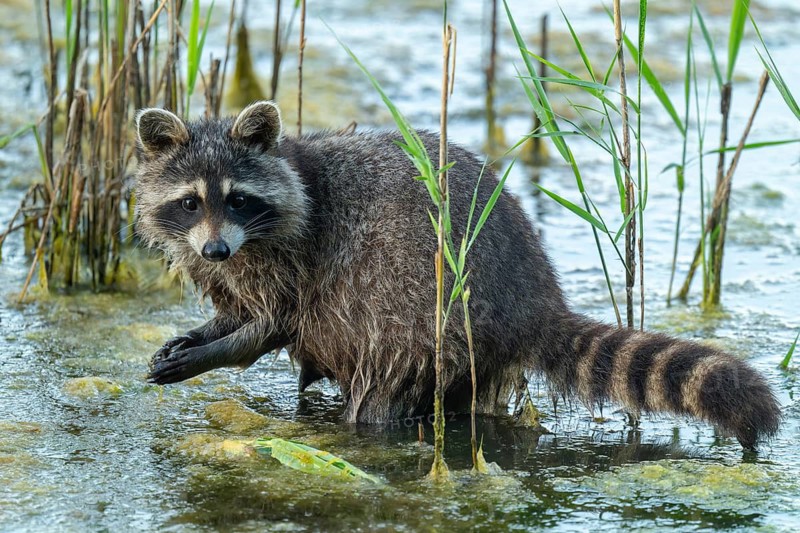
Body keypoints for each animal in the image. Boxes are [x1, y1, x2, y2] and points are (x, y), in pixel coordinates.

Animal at [135, 101, 780, 450]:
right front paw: (200, 333)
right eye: (191, 202)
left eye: (238, 199)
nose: (216, 249)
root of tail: (534, 297)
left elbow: (270, 325)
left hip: (426, 318)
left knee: (381, 389)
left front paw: (211, 353)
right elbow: (240, 310)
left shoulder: (301, 259)